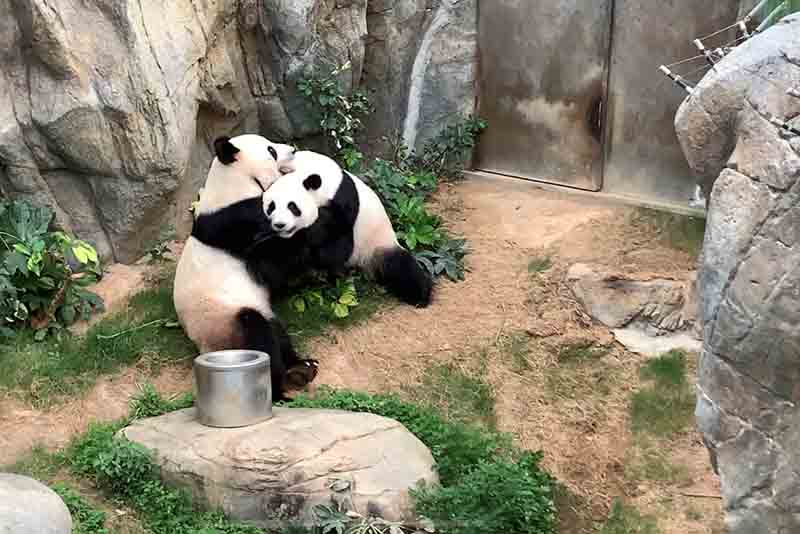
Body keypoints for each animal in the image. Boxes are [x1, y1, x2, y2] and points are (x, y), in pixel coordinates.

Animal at [173, 134, 319, 403]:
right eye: (271, 150)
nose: (293, 149)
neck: (234, 184)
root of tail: (204, 348)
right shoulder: (236, 224)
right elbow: (272, 263)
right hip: (225, 321)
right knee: (257, 334)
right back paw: (280, 386)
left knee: (277, 332)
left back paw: (301, 368)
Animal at [276, 150, 433, 307]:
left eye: (292, 207)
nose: (280, 225)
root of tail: (362, 266)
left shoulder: (345, 202)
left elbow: (339, 242)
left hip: (378, 244)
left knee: (401, 267)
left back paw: (420, 297)